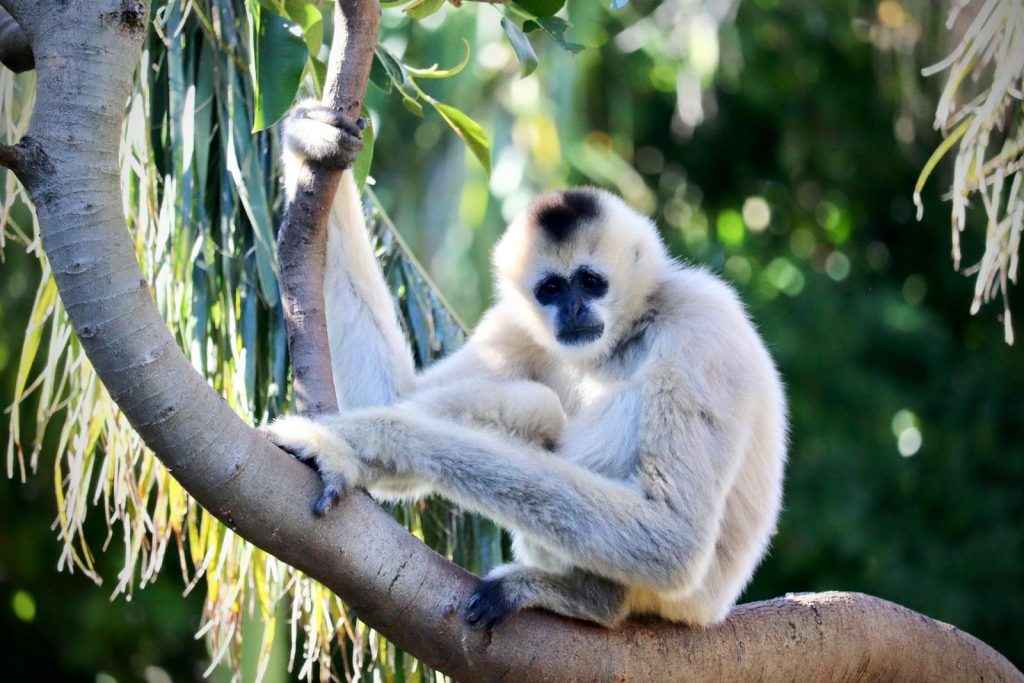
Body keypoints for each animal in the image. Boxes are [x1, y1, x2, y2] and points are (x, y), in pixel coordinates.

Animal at [267, 101, 788, 630]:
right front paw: (311, 138)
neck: (626, 332)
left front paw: (371, 437)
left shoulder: (704, 326)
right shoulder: (517, 327)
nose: (573, 310)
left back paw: (589, 599)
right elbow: (393, 395)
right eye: (551, 289)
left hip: (679, 600)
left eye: (591, 281)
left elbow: (673, 537)